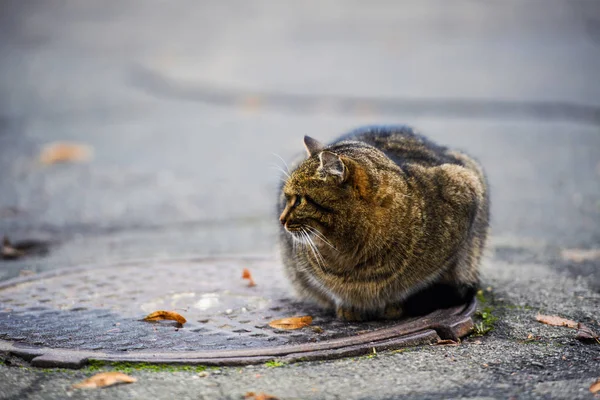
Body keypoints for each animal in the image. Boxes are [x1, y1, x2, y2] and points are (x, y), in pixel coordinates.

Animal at [278, 126, 490, 322]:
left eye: (298, 200)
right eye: (286, 198)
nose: (281, 220)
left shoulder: (464, 187)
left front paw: (392, 305)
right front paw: (349, 306)